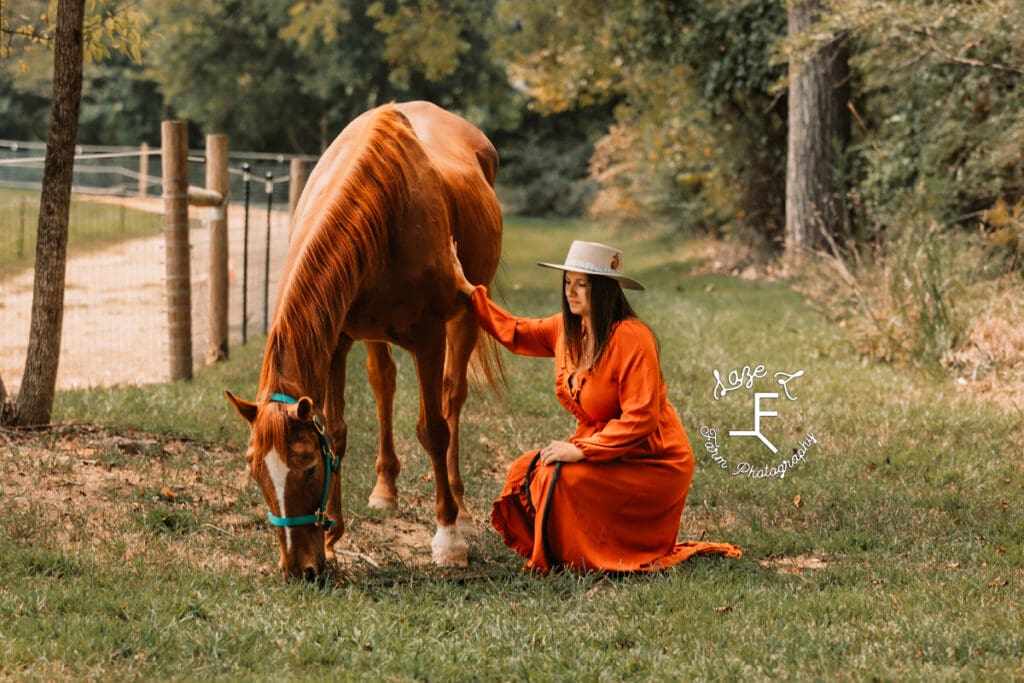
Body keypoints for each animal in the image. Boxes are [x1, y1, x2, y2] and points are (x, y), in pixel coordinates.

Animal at [224, 101, 503, 581]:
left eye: (308, 468)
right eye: (257, 472)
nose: (299, 569)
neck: (384, 205)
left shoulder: (429, 338)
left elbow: (434, 430)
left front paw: (448, 540)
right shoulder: (336, 340)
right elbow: (336, 430)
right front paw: (333, 540)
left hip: (466, 319)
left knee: (452, 397)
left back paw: (462, 511)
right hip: (374, 337)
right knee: (383, 382)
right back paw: (385, 490)